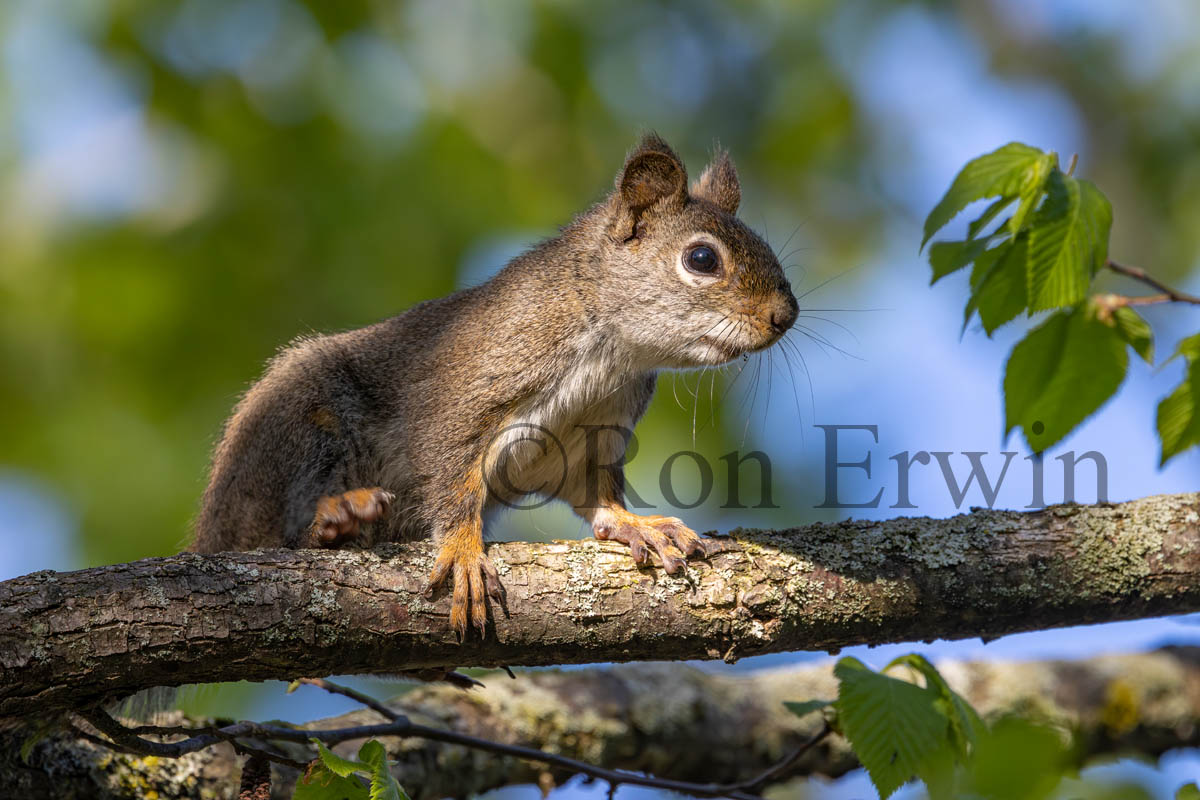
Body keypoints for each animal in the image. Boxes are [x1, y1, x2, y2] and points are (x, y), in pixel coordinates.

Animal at [189, 133, 798, 639]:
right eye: (702, 258)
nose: (785, 316)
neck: (610, 349)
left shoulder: (589, 434)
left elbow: (595, 494)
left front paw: (636, 525)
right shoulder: (464, 393)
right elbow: (451, 477)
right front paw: (462, 552)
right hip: (296, 426)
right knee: (278, 527)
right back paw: (335, 517)